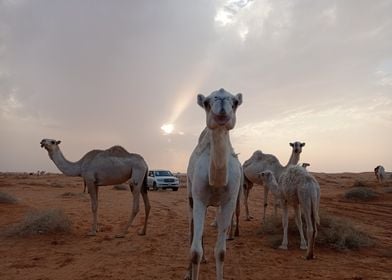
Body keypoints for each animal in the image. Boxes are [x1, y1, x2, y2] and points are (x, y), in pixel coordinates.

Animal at [185, 88, 242, 280]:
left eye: (235, 102)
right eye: (207, 102)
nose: (222, 100)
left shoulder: (229, 201)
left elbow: (221, 252)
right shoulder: (199, 199)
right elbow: (195, 252)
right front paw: (192, 272)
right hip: (190, 196)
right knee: (192, 231)